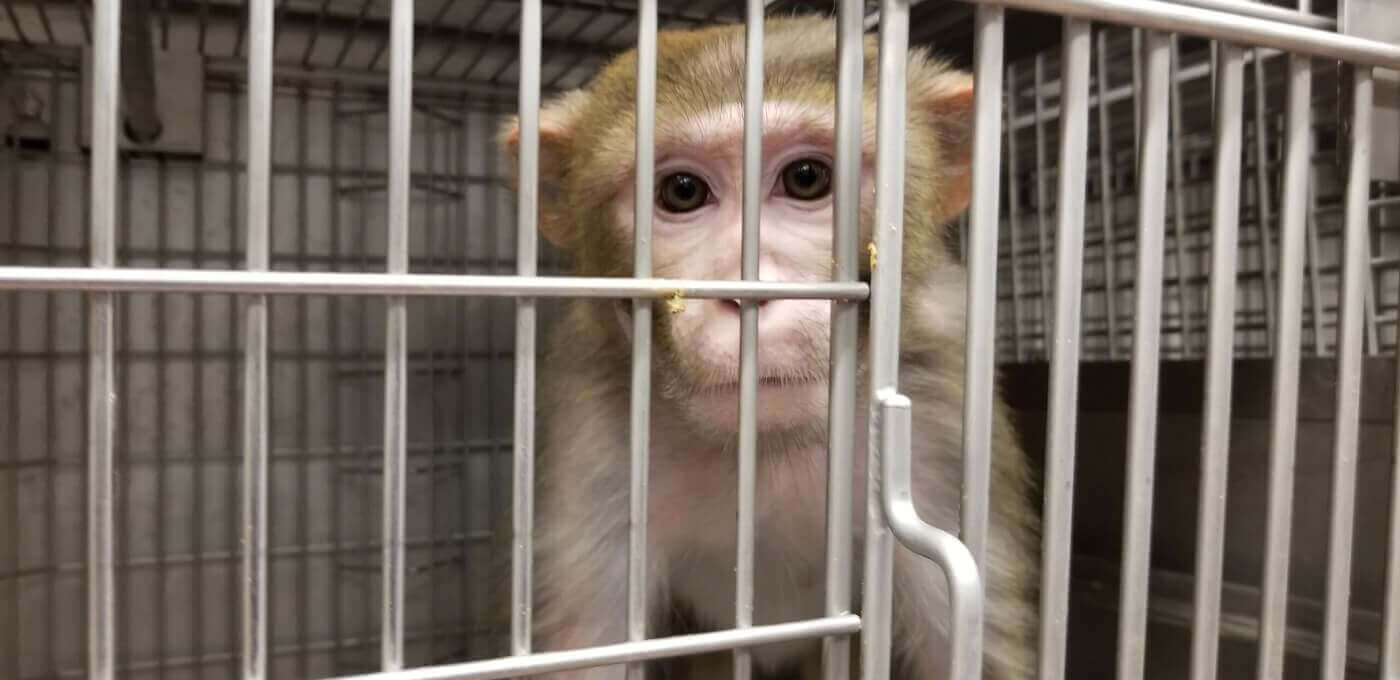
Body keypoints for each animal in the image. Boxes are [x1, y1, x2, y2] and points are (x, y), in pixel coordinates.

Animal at [498, 15, 1039, 680]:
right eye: (682, 191)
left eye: (806, 179)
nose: (748, 297)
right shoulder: (592, 434)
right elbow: (590, 645)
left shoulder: (943, 421)